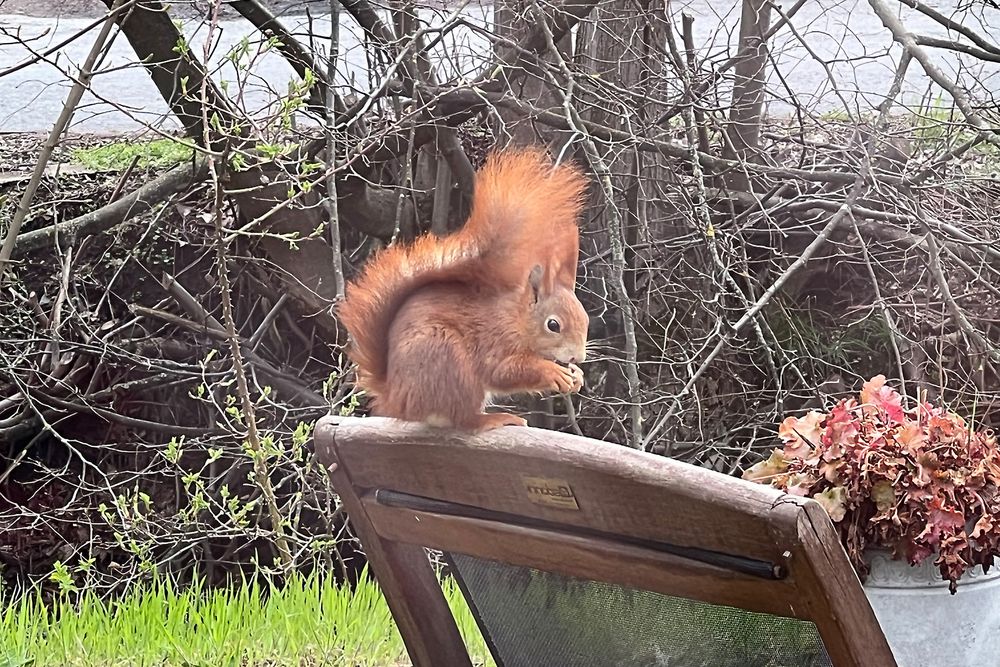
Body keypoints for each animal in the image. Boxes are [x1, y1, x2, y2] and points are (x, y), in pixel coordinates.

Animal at [338, 147, 584, 434]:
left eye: (585, 320)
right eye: (553, 325)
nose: (578, 357)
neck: (517, 319)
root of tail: (397, 399)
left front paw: (576, 376)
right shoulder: (495, 340)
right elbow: (502, 371)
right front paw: (553, 372)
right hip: (448, 359)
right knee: (463, 417)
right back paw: (493, 419)